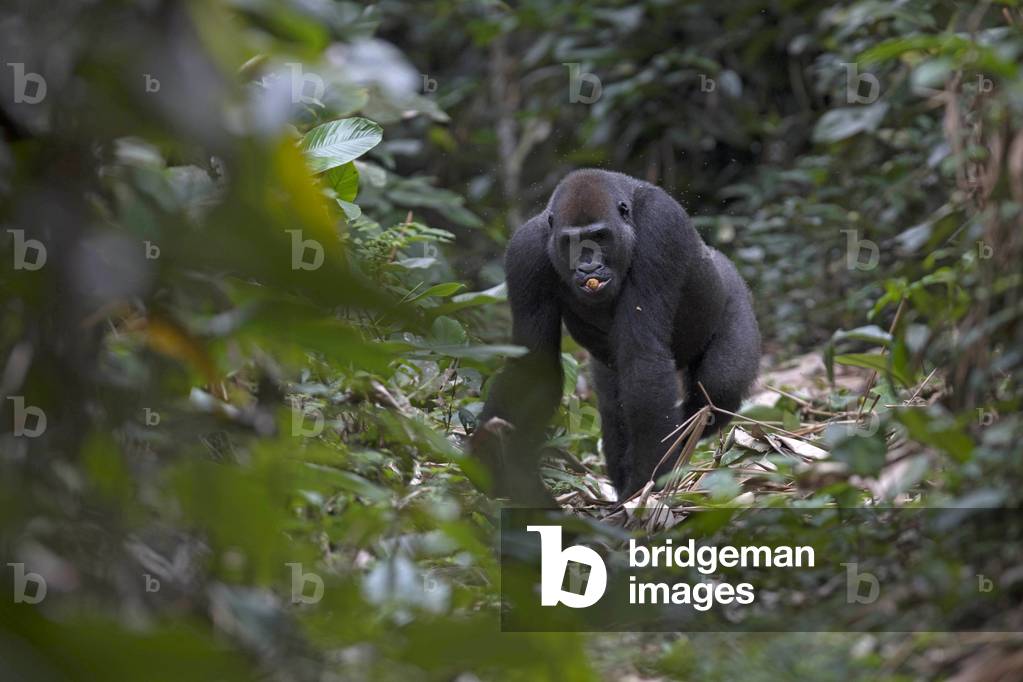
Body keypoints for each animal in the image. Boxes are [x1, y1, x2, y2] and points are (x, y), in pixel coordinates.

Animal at [469, 169, 760, 504]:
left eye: (599, 237)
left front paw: (647, 482)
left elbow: (643, 360)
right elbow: (534, 367)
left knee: (720, 385)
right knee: (613, 409)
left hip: (735, 295)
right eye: (570, 241)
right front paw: (491, 457)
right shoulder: (524, 251)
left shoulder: (661, 227)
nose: (588, 267)